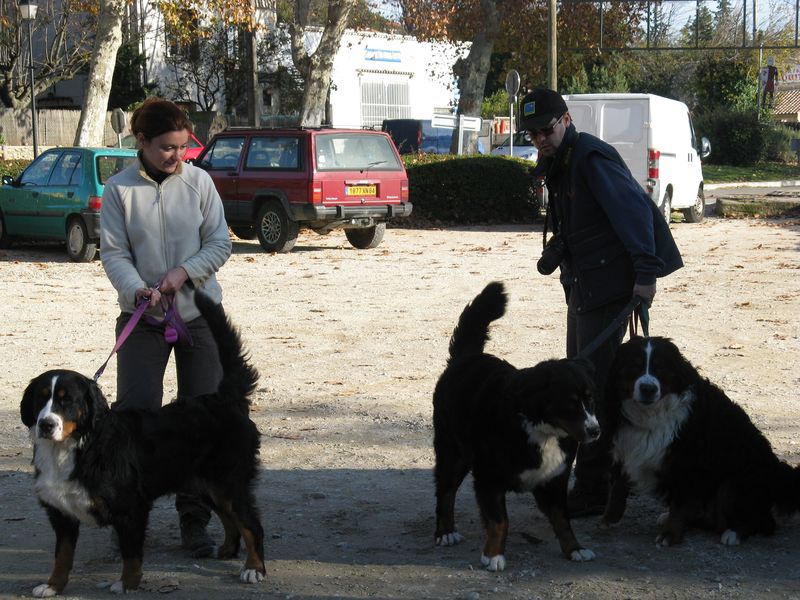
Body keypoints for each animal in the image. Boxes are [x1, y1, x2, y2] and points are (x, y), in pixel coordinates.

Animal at [19, 290, 266, 596]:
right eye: (41, 398)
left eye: (68, 401)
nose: (46, 424)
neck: (76, 448)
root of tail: (224, 398)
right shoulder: (61, 513)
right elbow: (62, 556)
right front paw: (53, 586)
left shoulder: (131, 507)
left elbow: (131, 554)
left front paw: (127, 584)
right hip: (207, 484)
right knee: (231, 519)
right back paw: (228, 550)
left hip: (229, 481)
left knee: (251, 524)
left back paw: (254, 568)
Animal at [432, 282, 600, 572]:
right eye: (570, 404)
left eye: (590, 399)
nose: (595, 431)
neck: (542, 430)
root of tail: (467, 357)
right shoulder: (489, 477)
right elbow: (500, 521)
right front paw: (493, 555)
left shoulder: (554, 480)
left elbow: (562, 520)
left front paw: (574, 549)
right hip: (453, 452)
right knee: (445, 490)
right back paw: (446, 531)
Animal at [600, 336, 800, 548]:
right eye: (634, 367)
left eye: (660, 368)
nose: (648, 389)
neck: (650, 416)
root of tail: (777, 474)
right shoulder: (626, 443)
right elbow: (618, 486)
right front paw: (609, 518)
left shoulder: (688, 461)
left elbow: (680, 505)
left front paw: (670, 535)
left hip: (735, 480)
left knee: (762, 522)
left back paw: (735, 533)